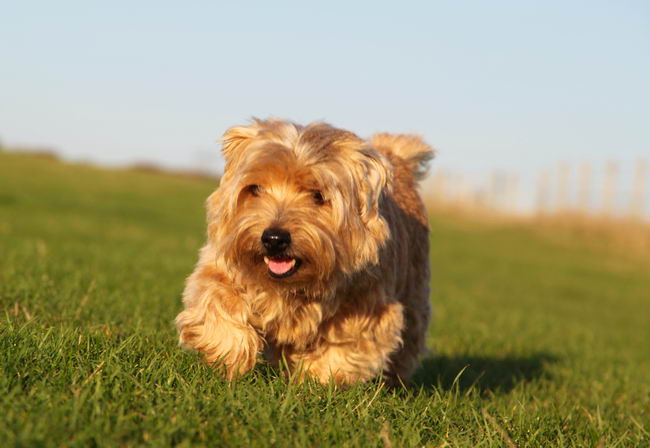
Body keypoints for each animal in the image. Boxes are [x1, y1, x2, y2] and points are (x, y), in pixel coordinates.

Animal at [175, 119, 432, 384]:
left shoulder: (366, 305)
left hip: (414, 295)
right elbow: (220, 302)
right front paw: (228, 357)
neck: (288, 287)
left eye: (318, 195)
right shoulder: (223, 267)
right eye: (255, 189)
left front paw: (315, 383)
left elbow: (341, 348)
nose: (274, 238)